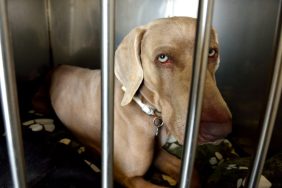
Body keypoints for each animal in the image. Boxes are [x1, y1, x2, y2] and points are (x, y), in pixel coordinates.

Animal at [46, 16, 232, 187]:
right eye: (163, 58)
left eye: (211, 52)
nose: (219, 130)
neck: (147, 112)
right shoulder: (129, 177)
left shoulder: (158, 154)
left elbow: (193, 173)